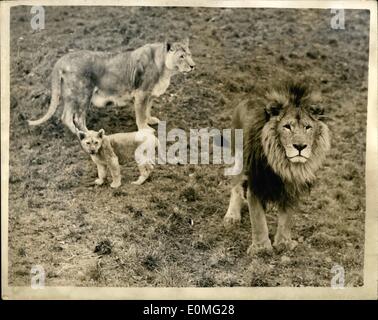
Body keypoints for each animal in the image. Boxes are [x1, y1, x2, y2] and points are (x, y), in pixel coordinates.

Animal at [28, 39, 195, 134]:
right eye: (182, 56)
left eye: (190, 54)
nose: (193, 66)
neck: (166, 70)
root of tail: (63, 59)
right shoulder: (141, 93)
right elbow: (140, 113)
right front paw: (145, 129)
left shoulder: (150, 94)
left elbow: (147, 109)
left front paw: (151, 120)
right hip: (83, 94)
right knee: (78, 118)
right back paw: (89, 135)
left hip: (71, 96)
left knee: (66, 117)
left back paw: (77, 134)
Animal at [224, 80, 330, 255]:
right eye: (287, 126)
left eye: (307, 127)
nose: (300, 146)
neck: (283, 163)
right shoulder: (256, 184)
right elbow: (258, 219)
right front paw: (261, 248)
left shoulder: (292, 187)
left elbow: (286, 219)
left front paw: (283, 243)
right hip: (238, 157)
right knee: (236, 186)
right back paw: (232, 216)